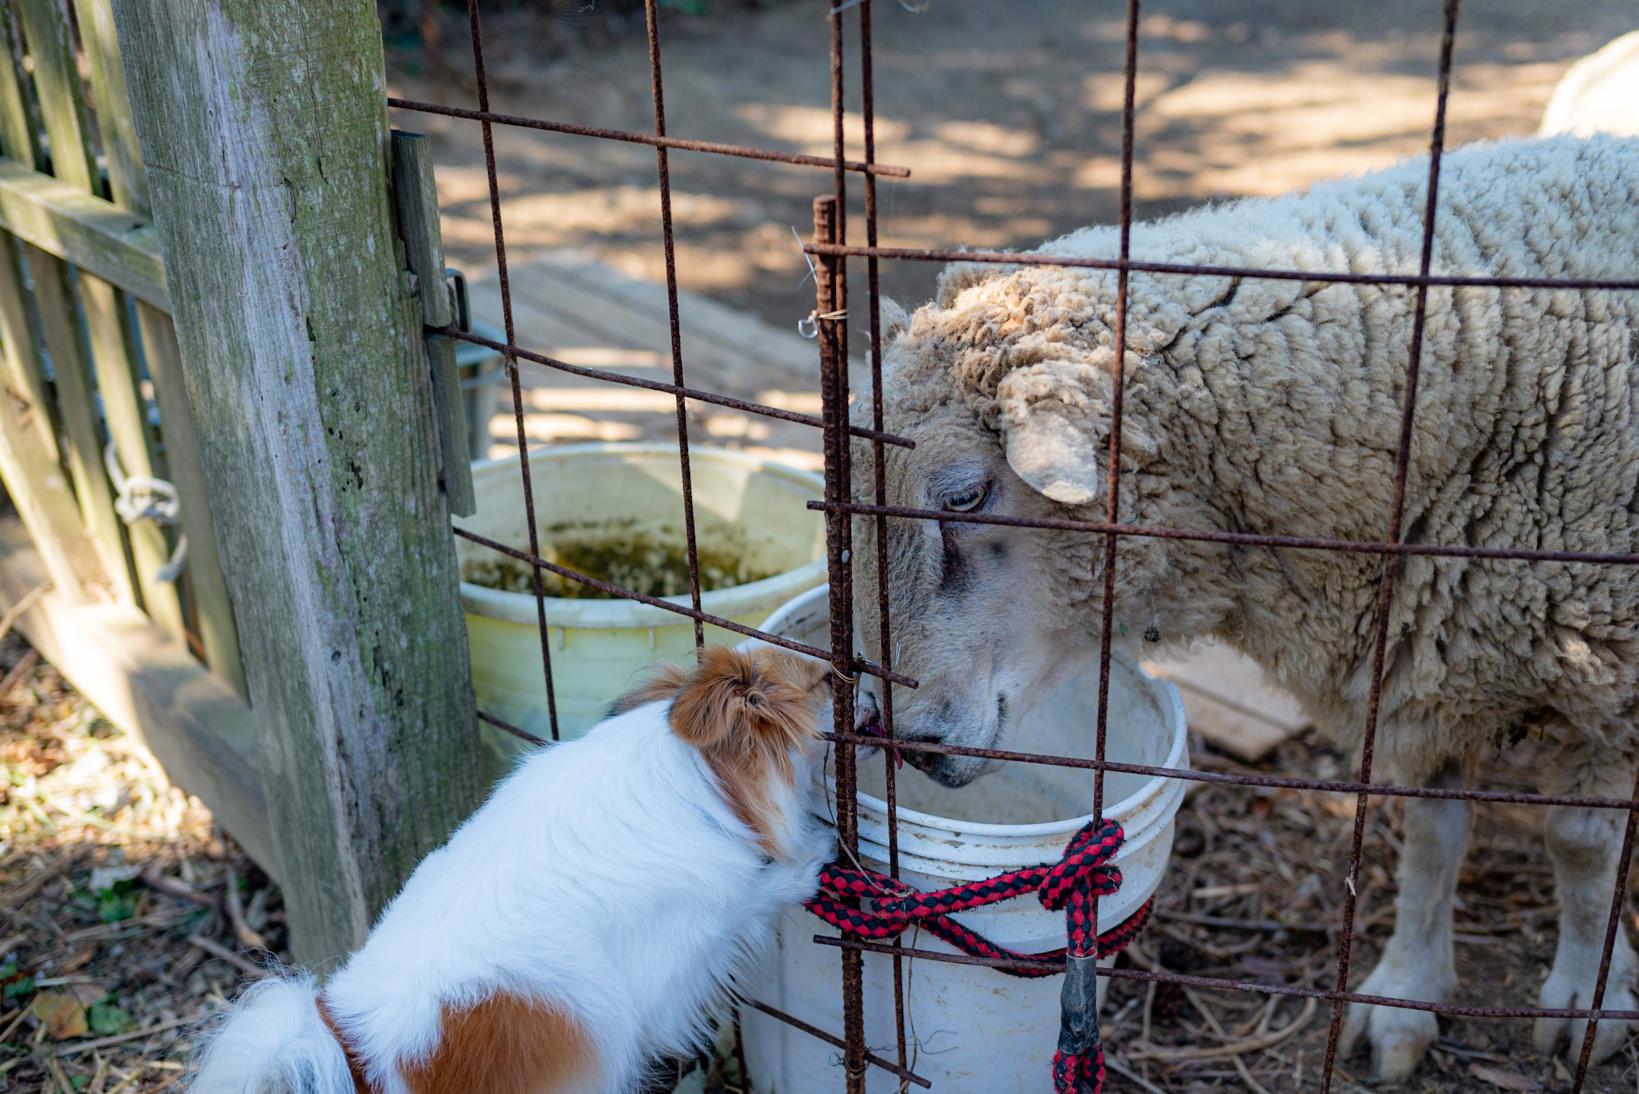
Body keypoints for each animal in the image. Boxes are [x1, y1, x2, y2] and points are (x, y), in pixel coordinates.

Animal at [191, 649, 845, 1094]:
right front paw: (809, 861)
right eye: (823, 680)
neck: (685, 779)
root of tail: (357, 1055)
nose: (849, 676)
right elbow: (751, 898)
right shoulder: (677, 958)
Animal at [852, 132, 1639, 1082]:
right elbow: (1432, 835)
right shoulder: (1431, 666)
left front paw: (1587, 999)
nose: (907, 741)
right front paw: (1405, 996)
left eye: (965, 496)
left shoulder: (1606, 681)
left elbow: (1582, 843)